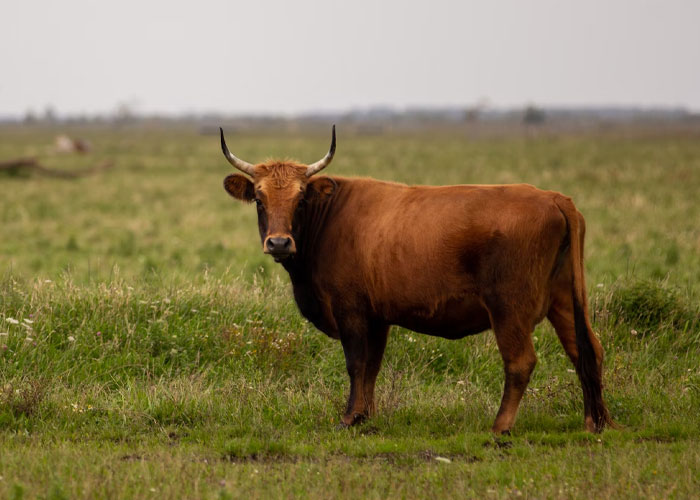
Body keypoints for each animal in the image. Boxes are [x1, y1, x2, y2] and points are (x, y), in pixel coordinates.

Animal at [220, 126, 612, 434]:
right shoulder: (377, 317)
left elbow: (356, 364)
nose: (279, 242)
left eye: (300, 199)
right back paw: (596, 422)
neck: (330, 217)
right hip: (564, 301)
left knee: (521, 361)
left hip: (509, 309)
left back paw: (501, 426)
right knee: (587, 350)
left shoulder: (351, 311)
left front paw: (348, 418)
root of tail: (553, 197)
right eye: (259, 199)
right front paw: (365, 416)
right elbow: (371, 367)